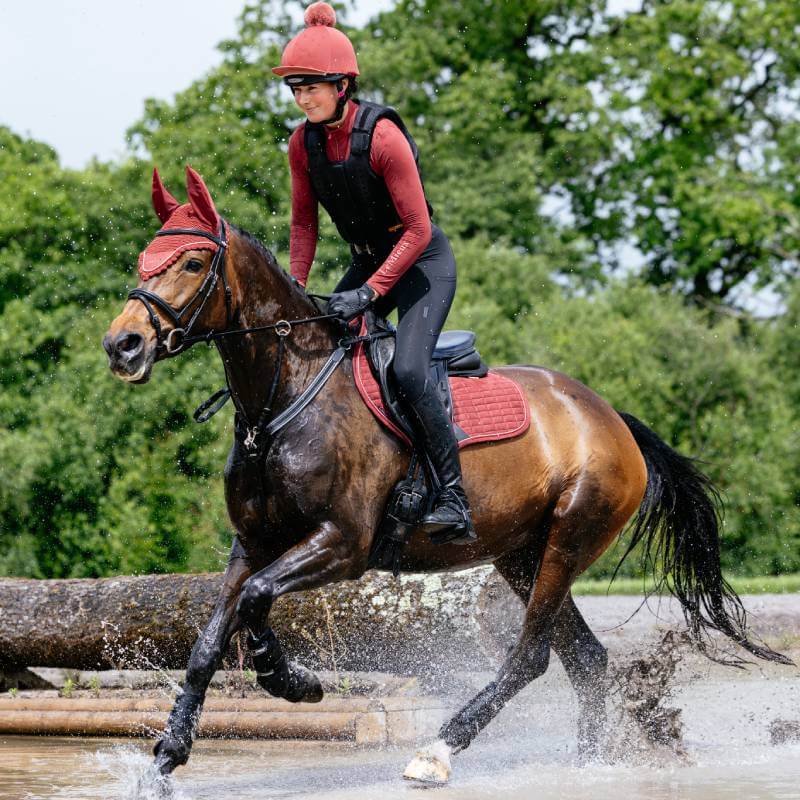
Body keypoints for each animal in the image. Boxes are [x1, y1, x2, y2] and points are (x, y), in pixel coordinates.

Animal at [103, 166, 790, 783]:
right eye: (143, 260)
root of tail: (609, 417)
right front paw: (166, 757)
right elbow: (209, 640)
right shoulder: (252, 544)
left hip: (569, 537)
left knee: (531, 655)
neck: (283, 400)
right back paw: (596, 761)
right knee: (584, 659)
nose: (122, 346)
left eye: (194, 263)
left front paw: (294, 682)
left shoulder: (341, 544)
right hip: (522, 553)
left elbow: (256, 602)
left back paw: (438, 751)